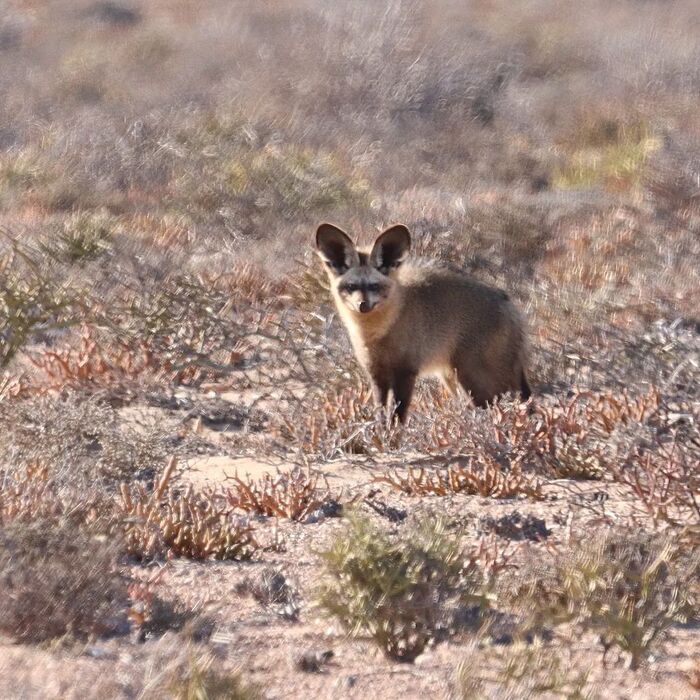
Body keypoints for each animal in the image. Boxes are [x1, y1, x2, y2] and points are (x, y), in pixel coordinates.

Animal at [316, 223, 532, 422]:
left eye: (374, 286)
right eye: (351, 286)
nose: (363, 305)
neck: (378, 334)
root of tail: (507, 301)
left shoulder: (405, 371)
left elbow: (398, 417)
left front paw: (394, 438)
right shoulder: (376, 374)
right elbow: (381, 414)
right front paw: (381, 435)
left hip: (473, 378)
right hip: (453, 377)